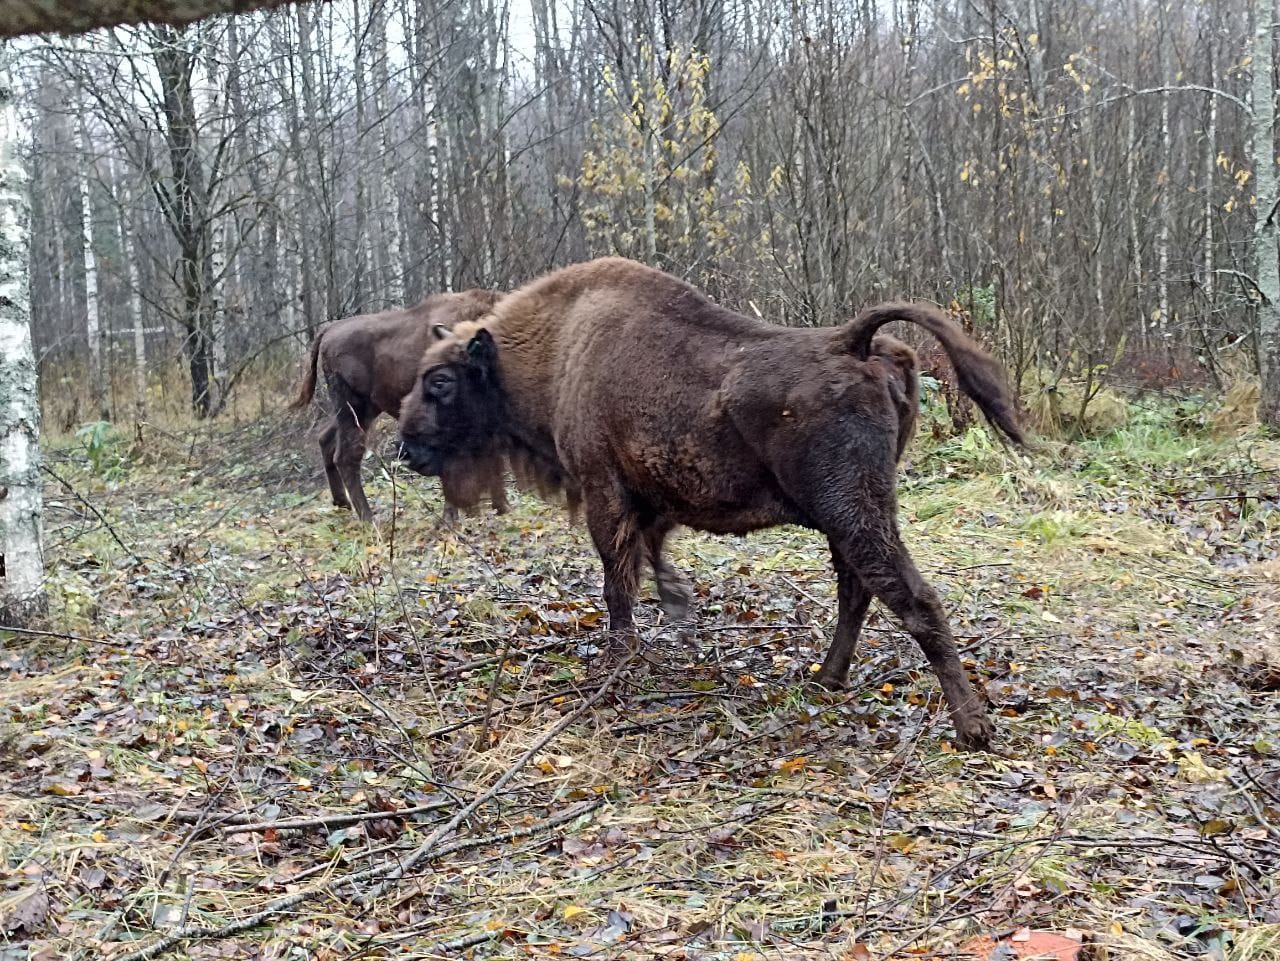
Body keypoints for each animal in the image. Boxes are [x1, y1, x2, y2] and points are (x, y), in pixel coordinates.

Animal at [291, 289, 509, 522]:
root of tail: (329, 330)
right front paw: (452, 519)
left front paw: (499, 508)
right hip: (353, 406)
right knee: (346, 455)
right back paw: (369, 520)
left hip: (365, 409)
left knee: (326, 439)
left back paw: (343, 505)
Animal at [394, 257, 1024, 752]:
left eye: (440, 380)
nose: (405, 446)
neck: (558, 349)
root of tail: (853, 342)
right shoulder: (649, 504)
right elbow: (650, 562)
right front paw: (678, 612)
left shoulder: (605, 494)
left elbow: (617, 585)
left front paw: (616, 667)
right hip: (848, 515)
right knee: (857, 590)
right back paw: (826, 678)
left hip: (852, 509)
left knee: (911, 597)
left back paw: (971, 728)